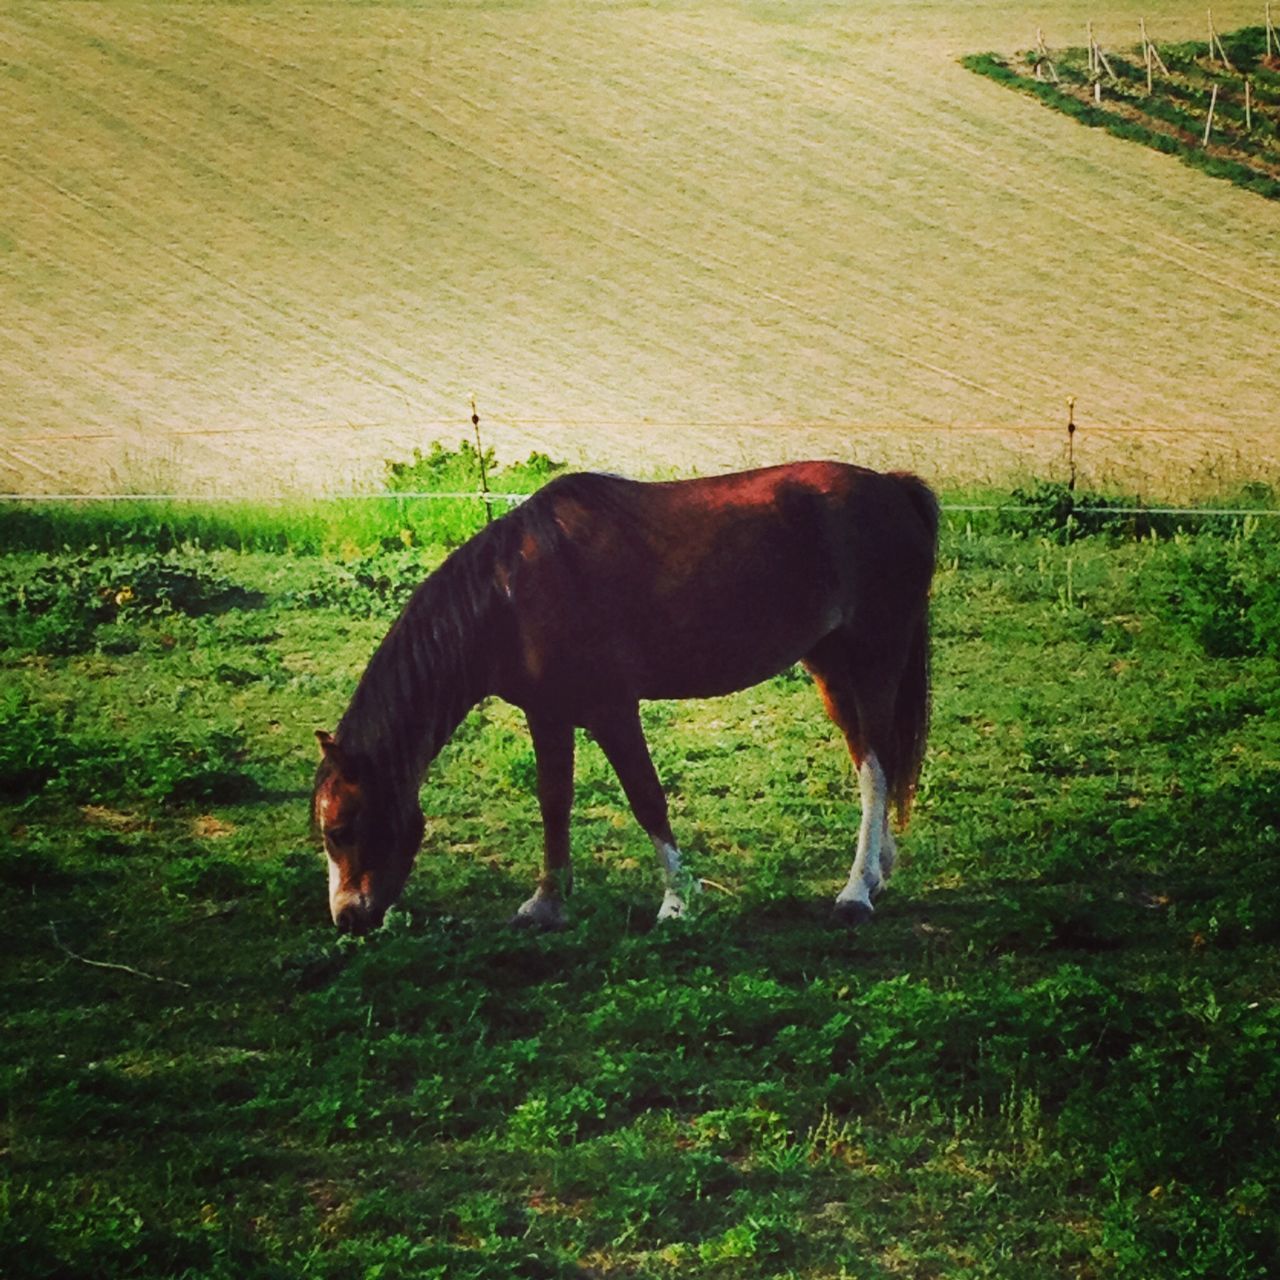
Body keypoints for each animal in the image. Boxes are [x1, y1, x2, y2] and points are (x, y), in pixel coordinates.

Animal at [314, 460, 936, 931]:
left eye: (340, 829)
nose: (347, 918)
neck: (511, 596)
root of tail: (892, 487)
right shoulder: (548, 714)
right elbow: (553, 801)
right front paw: (546, 903)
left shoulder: (611, 710)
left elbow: (647, 799)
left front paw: (678, 900)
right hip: (831, 667)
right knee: (868, 760)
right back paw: (878, 872)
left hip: (875, 660)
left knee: (878, 767)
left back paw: (856, 891)